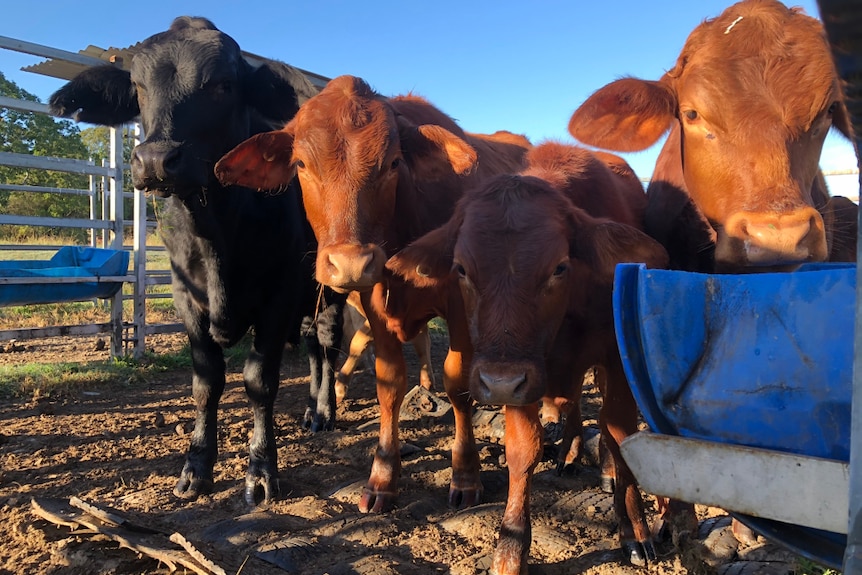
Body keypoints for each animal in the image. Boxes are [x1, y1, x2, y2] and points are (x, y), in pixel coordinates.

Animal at [50, 15, 346, 506]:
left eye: (224, 85)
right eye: (138, 86)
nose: (155, 159)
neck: (215, 232)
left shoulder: (278, 296)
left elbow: (259, 381)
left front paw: (261, 471)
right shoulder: (186, 298)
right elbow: (206, 384)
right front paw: (196, 467)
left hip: (334, 292)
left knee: (328, 345)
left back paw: (324, 410)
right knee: (313, 351)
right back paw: (309, 410)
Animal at [214, 75, 532, 512]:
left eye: (394, 163)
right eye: (301, 164)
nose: (350, 263)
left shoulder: (460, 305)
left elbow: (458, 385)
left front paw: (466, 474)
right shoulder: (376, 305)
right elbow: (388, 384)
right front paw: (382, 477)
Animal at [388, 141, 672, 572]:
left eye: (559, 267)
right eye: (461, 269)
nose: (499, 382)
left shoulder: (616, 362)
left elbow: (620, 433)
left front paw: (635, 529)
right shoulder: (522, 381)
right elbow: (523, 451)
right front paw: (510, 547)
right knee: (571, 406)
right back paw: (569, 454)